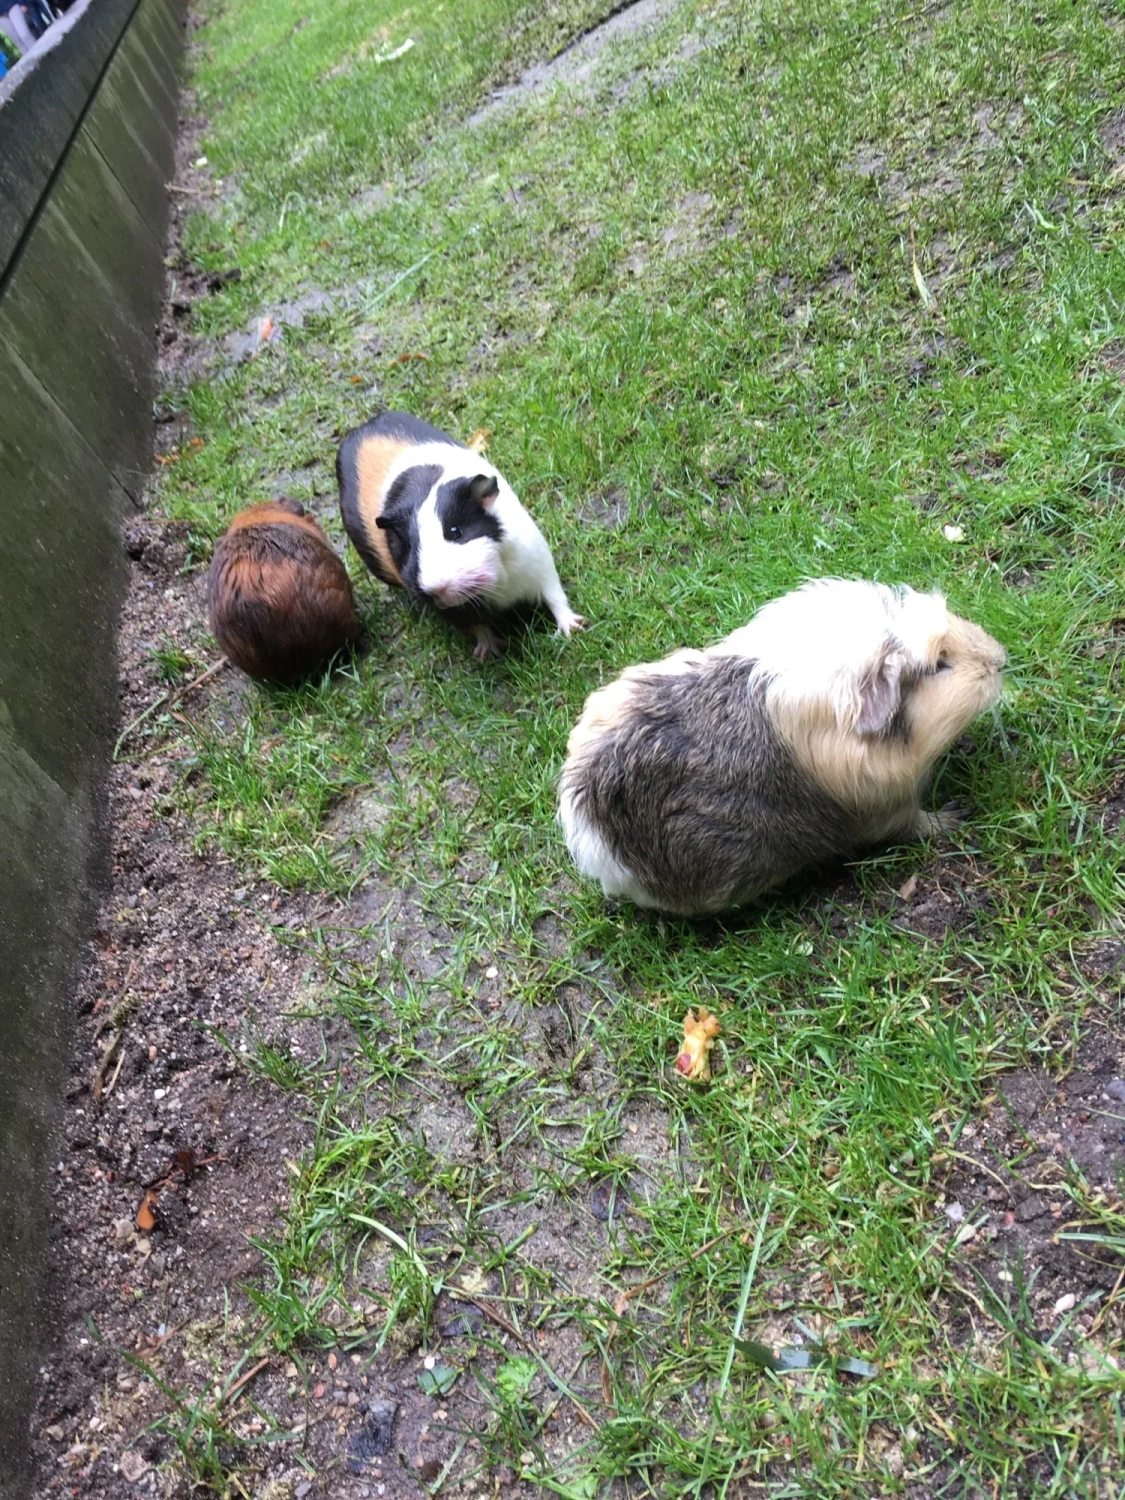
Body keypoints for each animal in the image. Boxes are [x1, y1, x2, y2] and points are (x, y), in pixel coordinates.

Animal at [336, 409, 583, 660]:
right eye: (410, 546)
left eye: (455, 531)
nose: (436, 588)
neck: (497, 583)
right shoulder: (457, 610)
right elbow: (477, 626)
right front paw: (488, 652)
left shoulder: (539, 562)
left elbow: (555, 596)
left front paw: (574, 628)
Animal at [558, 578, 1006, 915]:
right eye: (938, 666)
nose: (999, 657)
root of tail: (589, 835)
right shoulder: (890, 808)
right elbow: (918, 823)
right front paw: (956, 817)